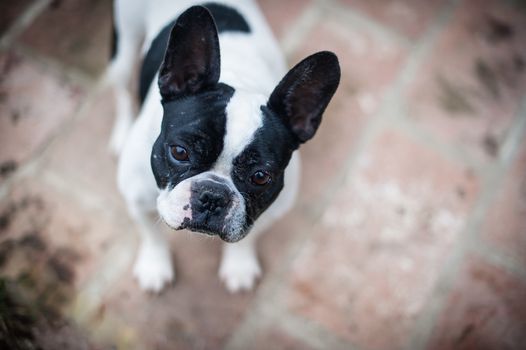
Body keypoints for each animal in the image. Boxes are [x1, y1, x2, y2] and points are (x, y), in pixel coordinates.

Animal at [107, 0, 342, 292]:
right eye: (180, 152)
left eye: (261, 177)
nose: (213, 195)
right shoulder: (137, 200)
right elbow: (151, 235)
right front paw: (154, 266)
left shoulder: (265, 213)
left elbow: (248, 238)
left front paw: (239, 266)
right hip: (123, 47)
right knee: (122, 88)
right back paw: (121, 131)